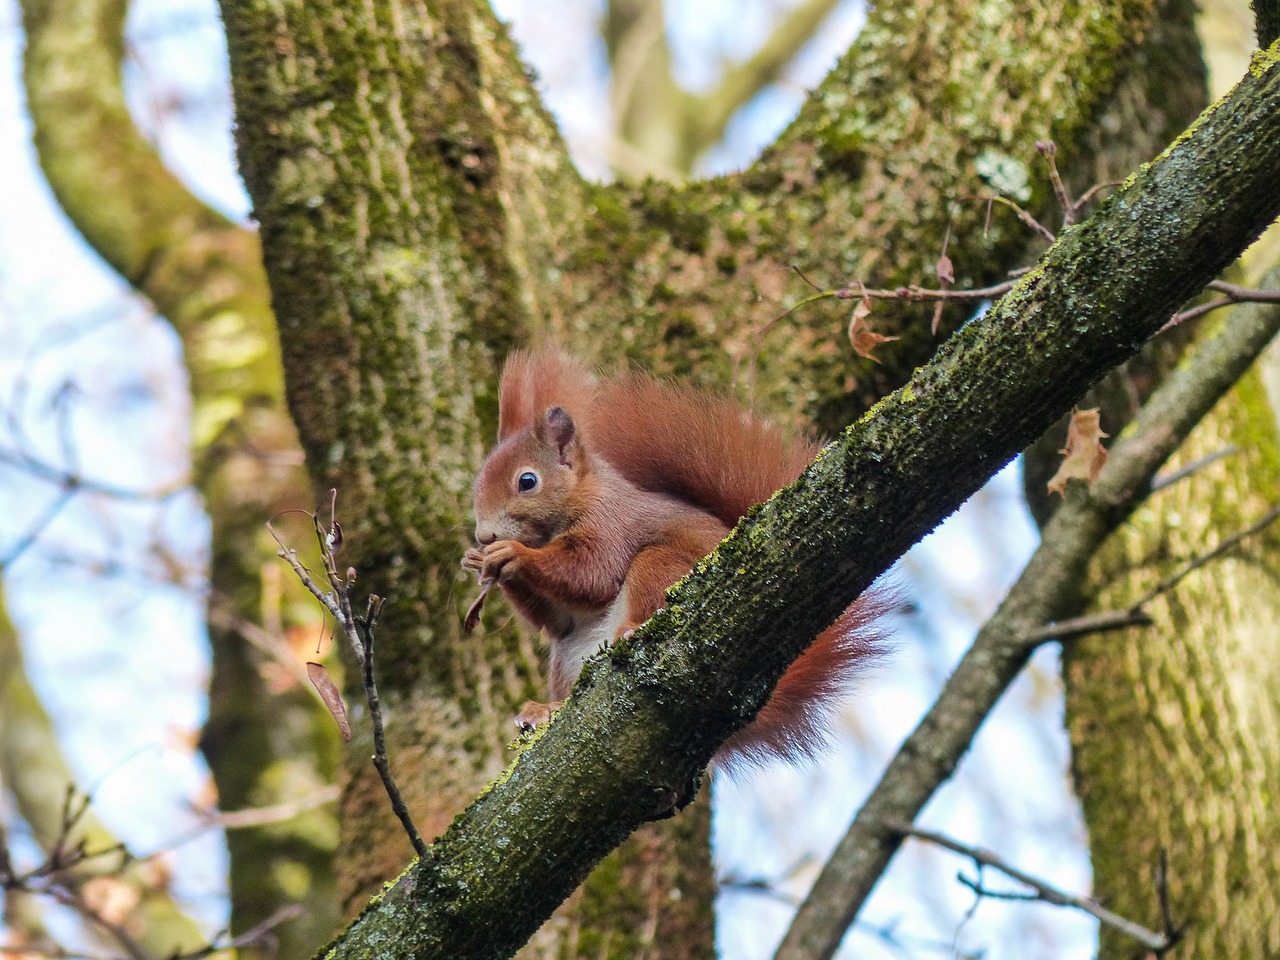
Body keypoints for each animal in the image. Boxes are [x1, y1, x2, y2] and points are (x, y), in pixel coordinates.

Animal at [463, 350, 890, 773]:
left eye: (527, 481)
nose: (485, 536)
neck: (583, 496)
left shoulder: (611, 524)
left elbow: (593, 573)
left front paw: (515, 554)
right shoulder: (563, 616)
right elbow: (556, 619)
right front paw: (478, 559)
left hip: (660, 565)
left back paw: (631, 629)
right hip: (566, 656)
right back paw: (545, 710)